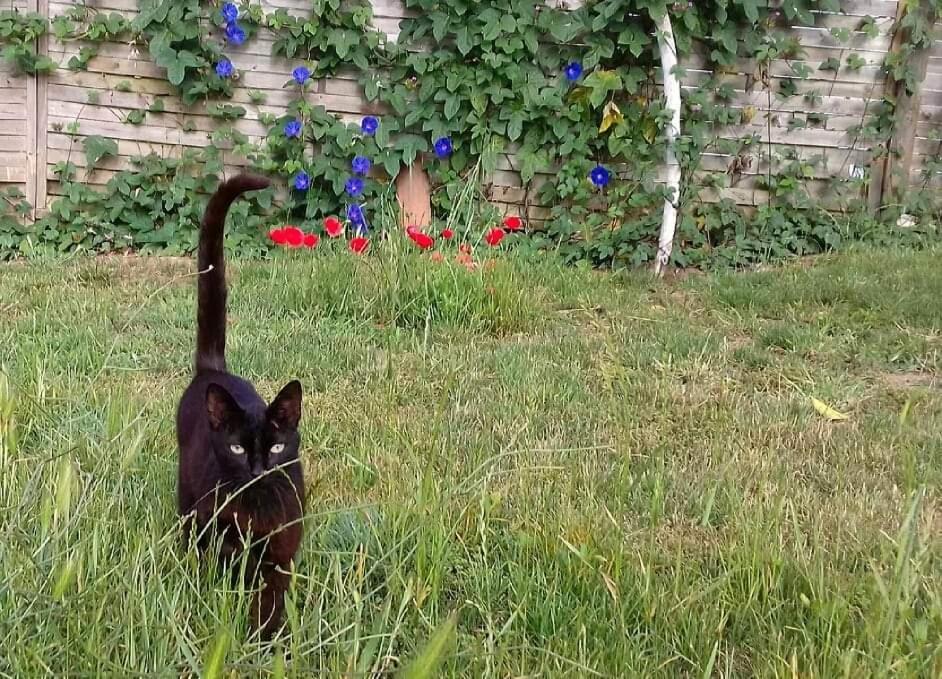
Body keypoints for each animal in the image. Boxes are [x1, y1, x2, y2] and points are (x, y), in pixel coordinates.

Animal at [177, 173, 306, 640]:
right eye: (236, 447)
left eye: (275, 447)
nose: (257, 469)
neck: (255, 513)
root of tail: (215, 371)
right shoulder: (214, 534)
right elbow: (217, 573)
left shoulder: (280, 553)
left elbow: (271, 596)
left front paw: (267, 637)